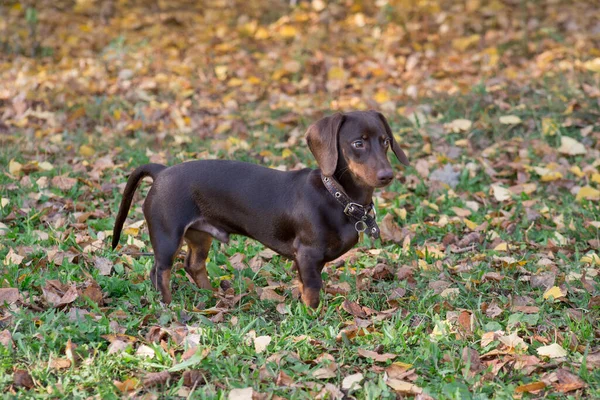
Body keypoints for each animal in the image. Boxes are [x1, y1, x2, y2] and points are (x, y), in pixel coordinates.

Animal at [112, 111, 408, 308]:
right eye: (358, 143)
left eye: (385, 141)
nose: (387, 175)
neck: (335, 196)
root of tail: (161, 171)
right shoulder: (308, 254)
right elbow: (312, 290)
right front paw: (315, 315)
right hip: (167, 236)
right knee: (160, 272)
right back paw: (169, 305)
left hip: (199, 234)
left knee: (193, 264)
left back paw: (212, 296)